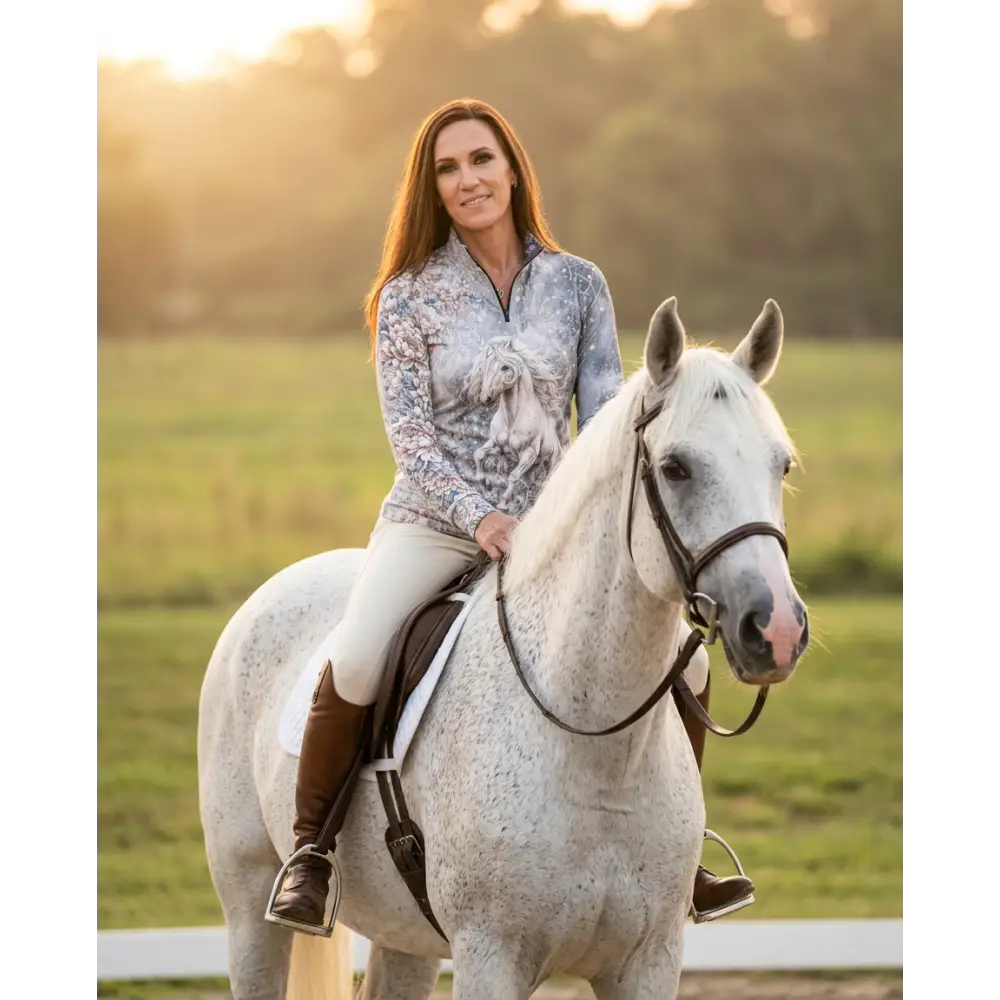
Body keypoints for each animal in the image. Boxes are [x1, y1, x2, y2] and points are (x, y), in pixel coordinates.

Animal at [197, 296, 810, 1000]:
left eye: (781, 464)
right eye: (676, 467)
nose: (777, 630)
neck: (595, 749)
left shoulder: (648, 961)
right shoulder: (492, 956)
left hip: (405, 936)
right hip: (250, 907)